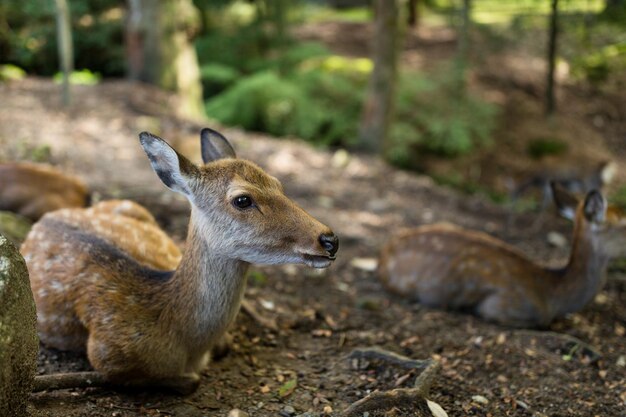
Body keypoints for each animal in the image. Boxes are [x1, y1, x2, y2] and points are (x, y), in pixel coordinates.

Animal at [23, 127, 336, 394]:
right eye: (242, 200)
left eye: (278, 184)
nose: (330, 239)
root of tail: (46, 218)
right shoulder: (105, 354)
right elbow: (189, 381)